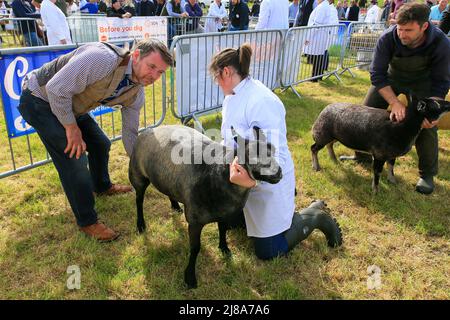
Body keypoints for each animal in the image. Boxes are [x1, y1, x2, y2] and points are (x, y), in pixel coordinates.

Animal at [128, 124, 282, 288]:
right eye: (251, 155)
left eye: (273, 150)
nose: (278, 173)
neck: (219, 175)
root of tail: (150, 129)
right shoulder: (194, 221)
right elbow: (195, 248)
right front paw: (190, 277)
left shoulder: (224, 214)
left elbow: (222, 230)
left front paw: (225, 249)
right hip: (137, 175)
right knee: (139, 200)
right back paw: (141, 225)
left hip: (165, 177)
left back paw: (175, 206)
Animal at [312, 97, 448, 192]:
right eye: (437, 104)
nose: (449, 104)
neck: (404, 125)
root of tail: (325, 109)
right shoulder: (379, 154)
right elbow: (377, 172)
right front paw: (375, 190)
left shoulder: (392, 154)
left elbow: (391, 167)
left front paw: (392, 180)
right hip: (322, 134)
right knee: (313, 148)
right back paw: (316, 166)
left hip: (335, 136)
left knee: (329, 145)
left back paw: (334, 159)